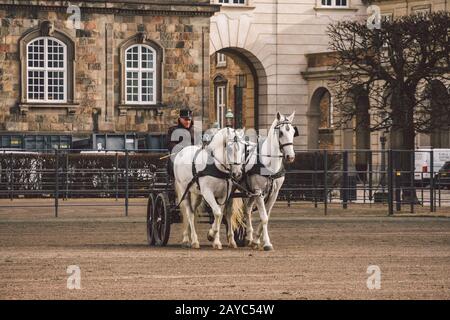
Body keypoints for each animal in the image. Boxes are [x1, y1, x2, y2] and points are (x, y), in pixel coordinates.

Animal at [229, 111, 298, 251]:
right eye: (281, 132)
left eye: (293, 132)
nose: (291, 156)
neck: (269, 165)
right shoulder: (259, 192)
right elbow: (264, 217)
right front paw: (267, 243)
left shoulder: (274, 193)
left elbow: (266, 216)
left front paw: (256, 240)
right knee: (228, 212)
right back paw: (230, 239)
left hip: (249, 193)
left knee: (247, 210)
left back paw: (249, 238)